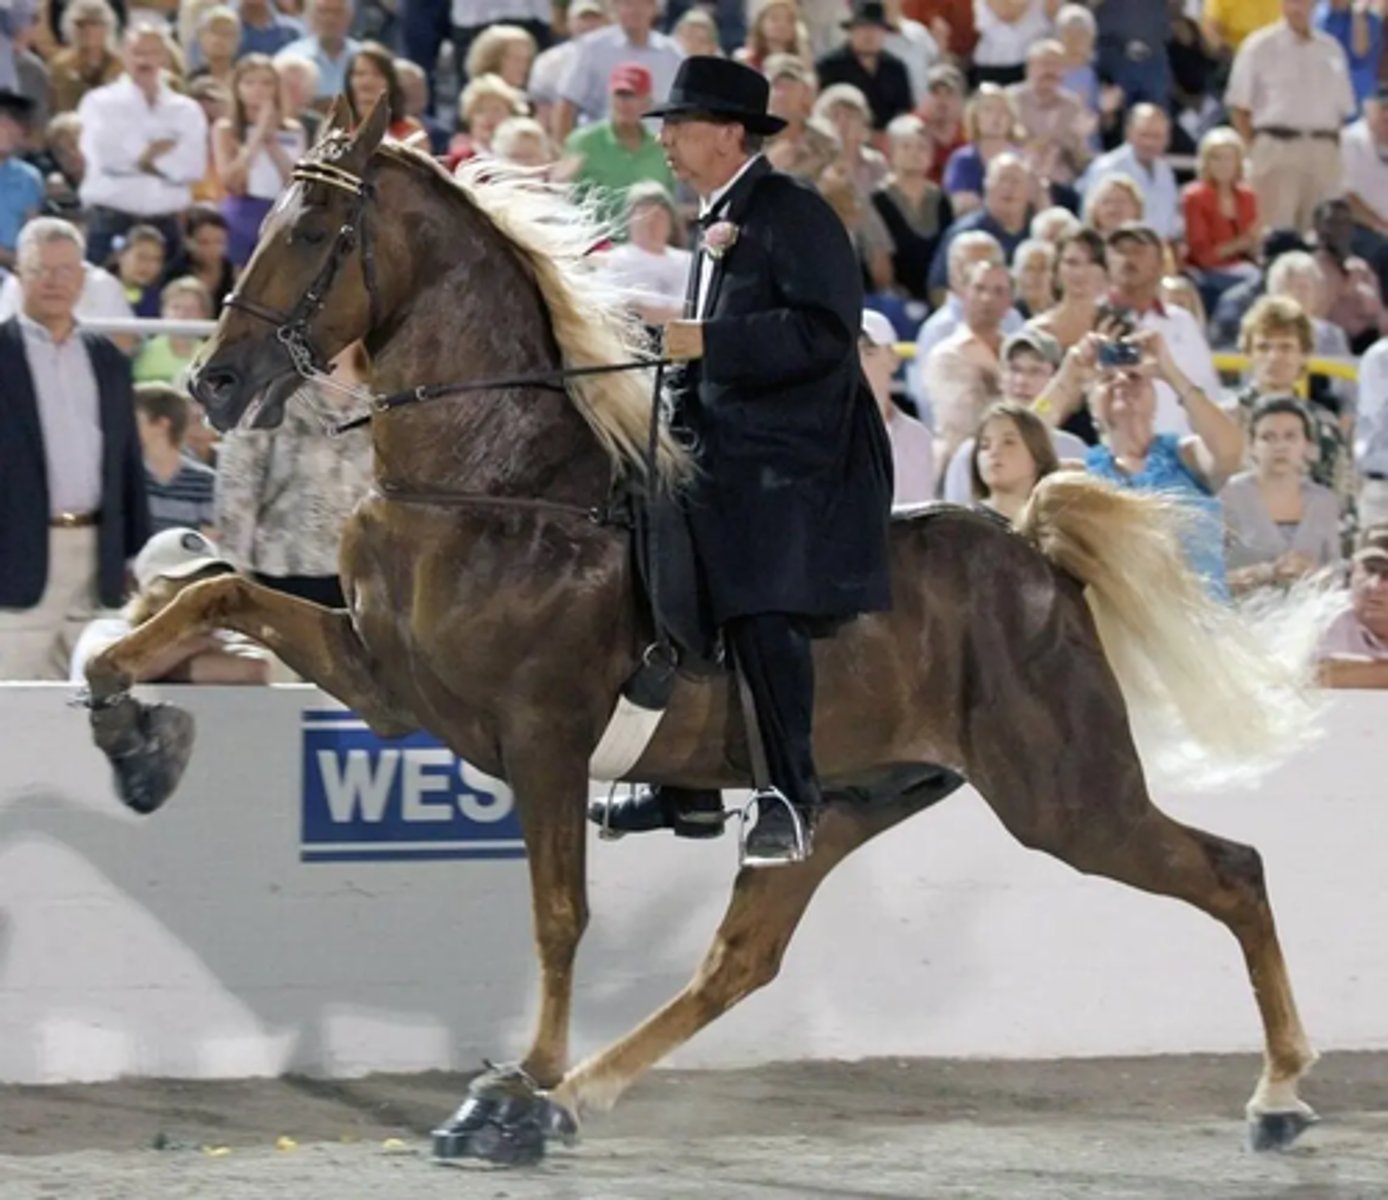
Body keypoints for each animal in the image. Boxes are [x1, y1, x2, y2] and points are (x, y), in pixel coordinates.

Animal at [82, 99, 1320, 1164]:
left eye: (317, 232)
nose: (214, 380)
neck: (495, 481)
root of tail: (1029, 547)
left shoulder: (538, 739)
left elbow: (558, 916)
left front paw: (519, 1078)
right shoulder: (390, 681)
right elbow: (216, 596)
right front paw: (130, 729)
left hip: (1062, 794)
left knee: (1234, 872)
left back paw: (1279, 1095)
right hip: (849, 804)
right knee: (740, 960)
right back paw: (573, 1102)